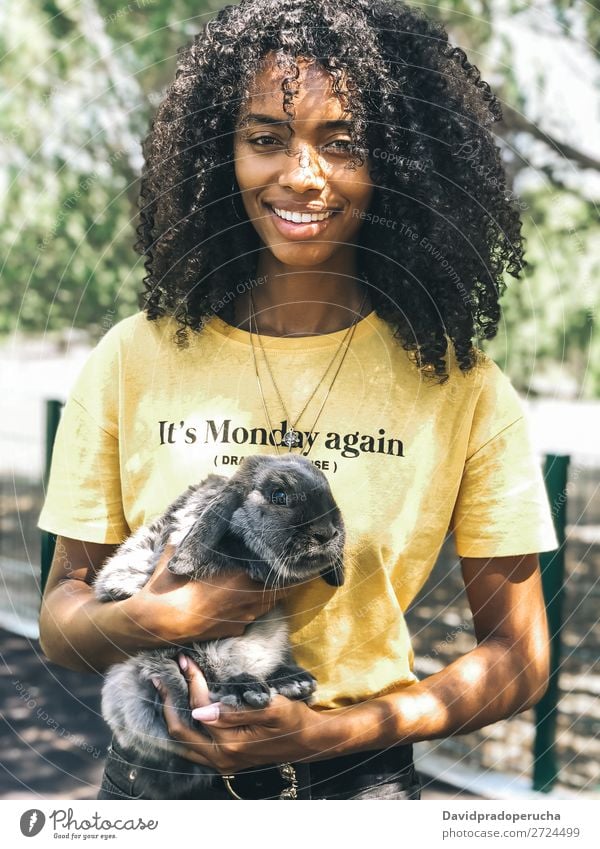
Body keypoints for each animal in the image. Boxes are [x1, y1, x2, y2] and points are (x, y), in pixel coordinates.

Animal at [95, 454, 346, 800]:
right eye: (279, 495)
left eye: (329, 489)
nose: (326, 532)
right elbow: (227, 547)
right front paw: (256, 564)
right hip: (175, 656)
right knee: (205, 691)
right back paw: (250, 690)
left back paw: (294, 682)